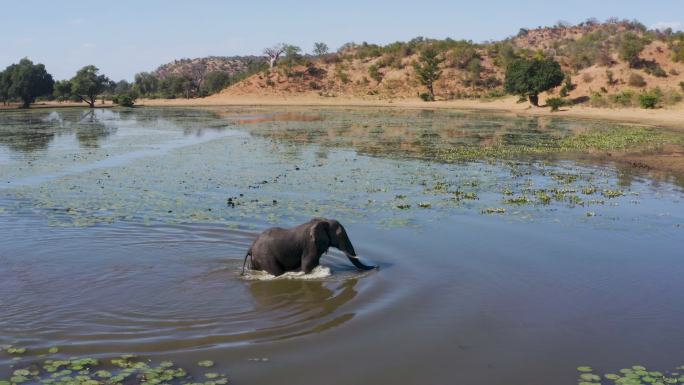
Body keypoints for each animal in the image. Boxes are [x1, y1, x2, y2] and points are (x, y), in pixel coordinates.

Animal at [242, 216, 380, 276]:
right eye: (340, 235)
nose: (377, 266)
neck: (323, 221)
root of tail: (251, 247)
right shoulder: (310, 245)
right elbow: (307, 265)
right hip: (266, 256)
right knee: (277, 272)